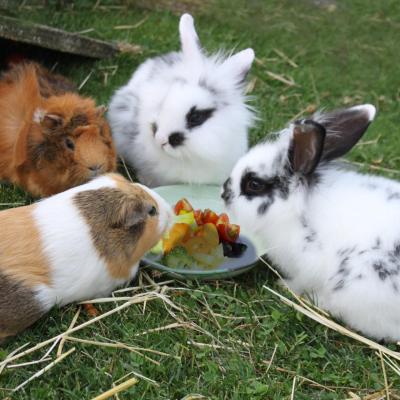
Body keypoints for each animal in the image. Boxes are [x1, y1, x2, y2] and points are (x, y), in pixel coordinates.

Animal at [222, 104, 400, 342]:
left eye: (254, 184)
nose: (224, 192)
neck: (296, 210)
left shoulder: (307, 267)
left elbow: (300, 280)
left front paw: (284, 286)